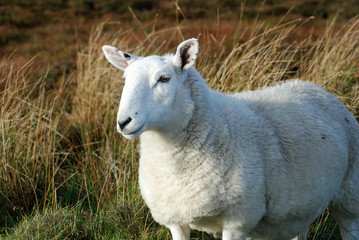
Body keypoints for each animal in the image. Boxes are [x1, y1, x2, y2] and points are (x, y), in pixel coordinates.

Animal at [102, 38, 359, 239]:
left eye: (164, 79)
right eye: (125, 79)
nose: (124, 122)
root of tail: (315, 87)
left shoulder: (238, 220)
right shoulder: (176, 220)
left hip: (348, 195)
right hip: (298, 208)